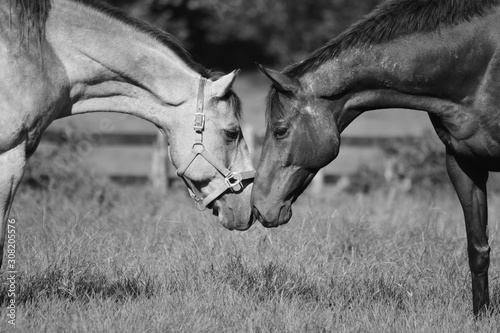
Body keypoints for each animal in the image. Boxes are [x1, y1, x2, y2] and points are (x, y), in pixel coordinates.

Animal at [252, 0, 500, 316]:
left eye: (280, 130)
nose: (259, 206)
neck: (477, 67)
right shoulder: (463, 163)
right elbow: (478, 249)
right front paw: (481, 316)